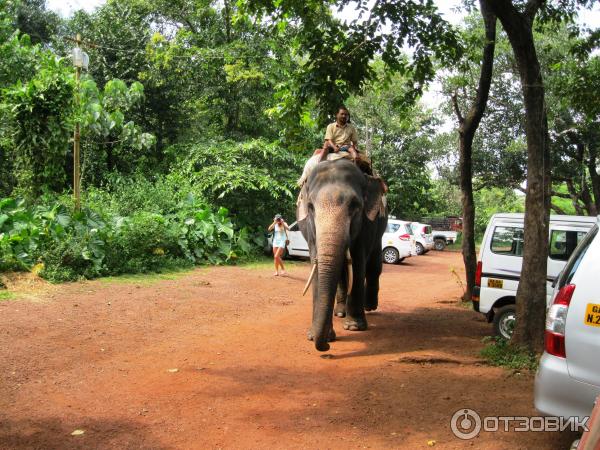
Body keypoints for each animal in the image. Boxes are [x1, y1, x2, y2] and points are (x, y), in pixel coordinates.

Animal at [296, 158, 390, 352]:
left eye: (355, 206)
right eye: (310, 207)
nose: (326, 347)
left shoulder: (367, 224)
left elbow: (358, 262)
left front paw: (354, 327)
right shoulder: (310, 230)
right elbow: (317, 267)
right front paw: (315, 335)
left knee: (374, 266)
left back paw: (369, 307)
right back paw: (340, 312)